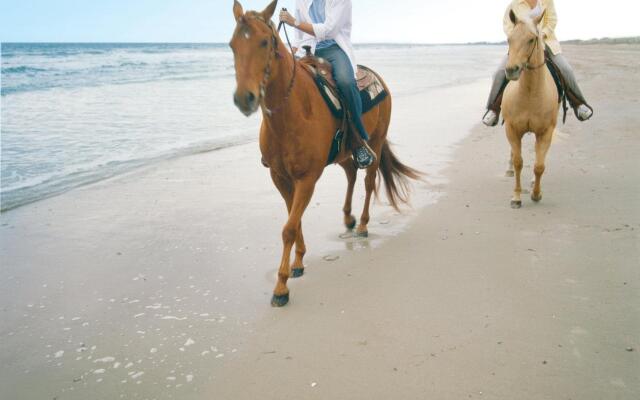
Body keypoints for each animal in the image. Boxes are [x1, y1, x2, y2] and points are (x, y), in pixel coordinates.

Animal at [230, 0, 420, 306]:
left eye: (264, 42)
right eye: (232, 45)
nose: (244, 98)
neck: (292, 112)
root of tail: (378, 79)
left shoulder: (307, 179)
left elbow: (289, 227)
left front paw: (280, 287)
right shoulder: (280, 177)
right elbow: (293, 219)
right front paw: (297, 264)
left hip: (376, 142)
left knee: (368, 181)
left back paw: (362, 225)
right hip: (343, 154)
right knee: (352, 173)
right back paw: (348, 218)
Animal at [502, 9, 556, 209]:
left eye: (532, 39)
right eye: (509, 39)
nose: (512, 70)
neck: (530, 94)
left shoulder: (546, 132)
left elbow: (539, 166)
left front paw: (536, 194)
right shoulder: (512, 129)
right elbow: (519, 162)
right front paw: (516, 197)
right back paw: (509, 170)